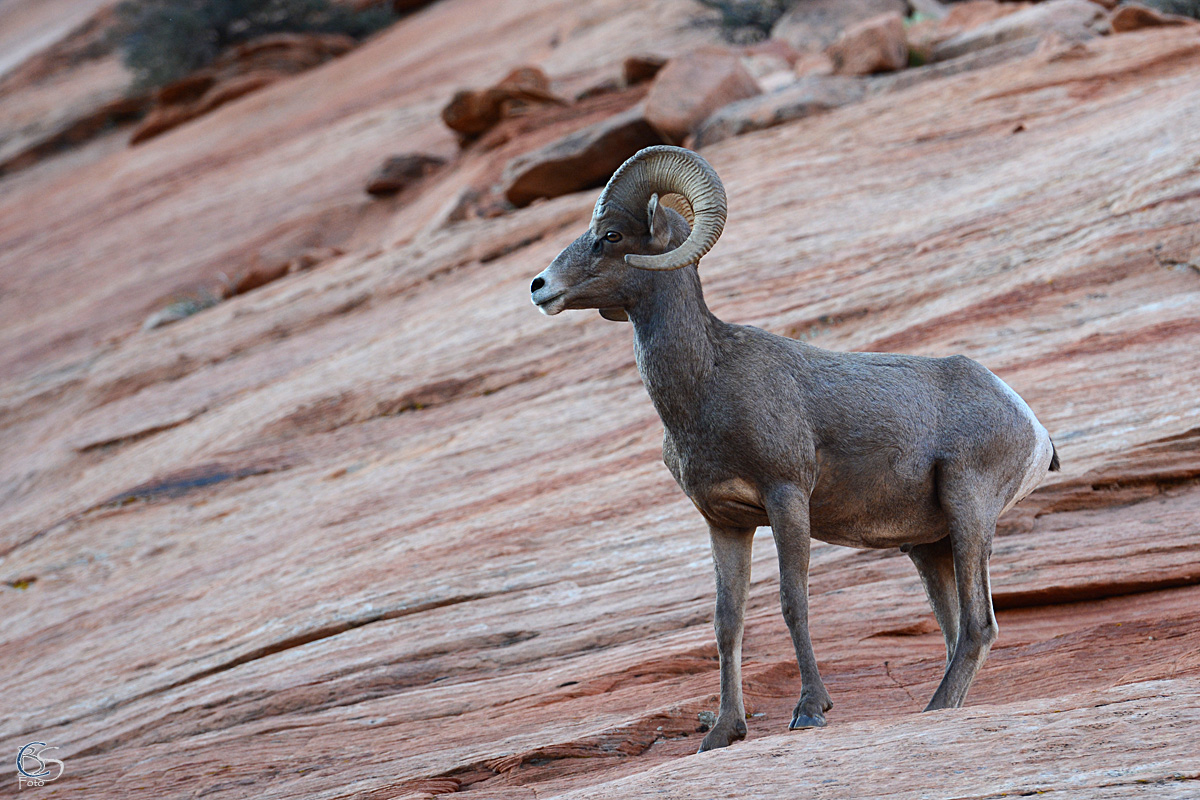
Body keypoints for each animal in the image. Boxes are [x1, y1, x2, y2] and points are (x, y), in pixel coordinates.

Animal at [529, 145, 1059, 752]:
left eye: (611, 235)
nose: (539, 286)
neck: (708, 382)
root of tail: (1030, 424)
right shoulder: (725, 522)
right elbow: (727, 621)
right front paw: (723, 733)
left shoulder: (786, 498)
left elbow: (792, 603)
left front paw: (810, 710)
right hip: (928, 546)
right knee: (955, 633)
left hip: (968, 512)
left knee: (977, 626)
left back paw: (929, 708)